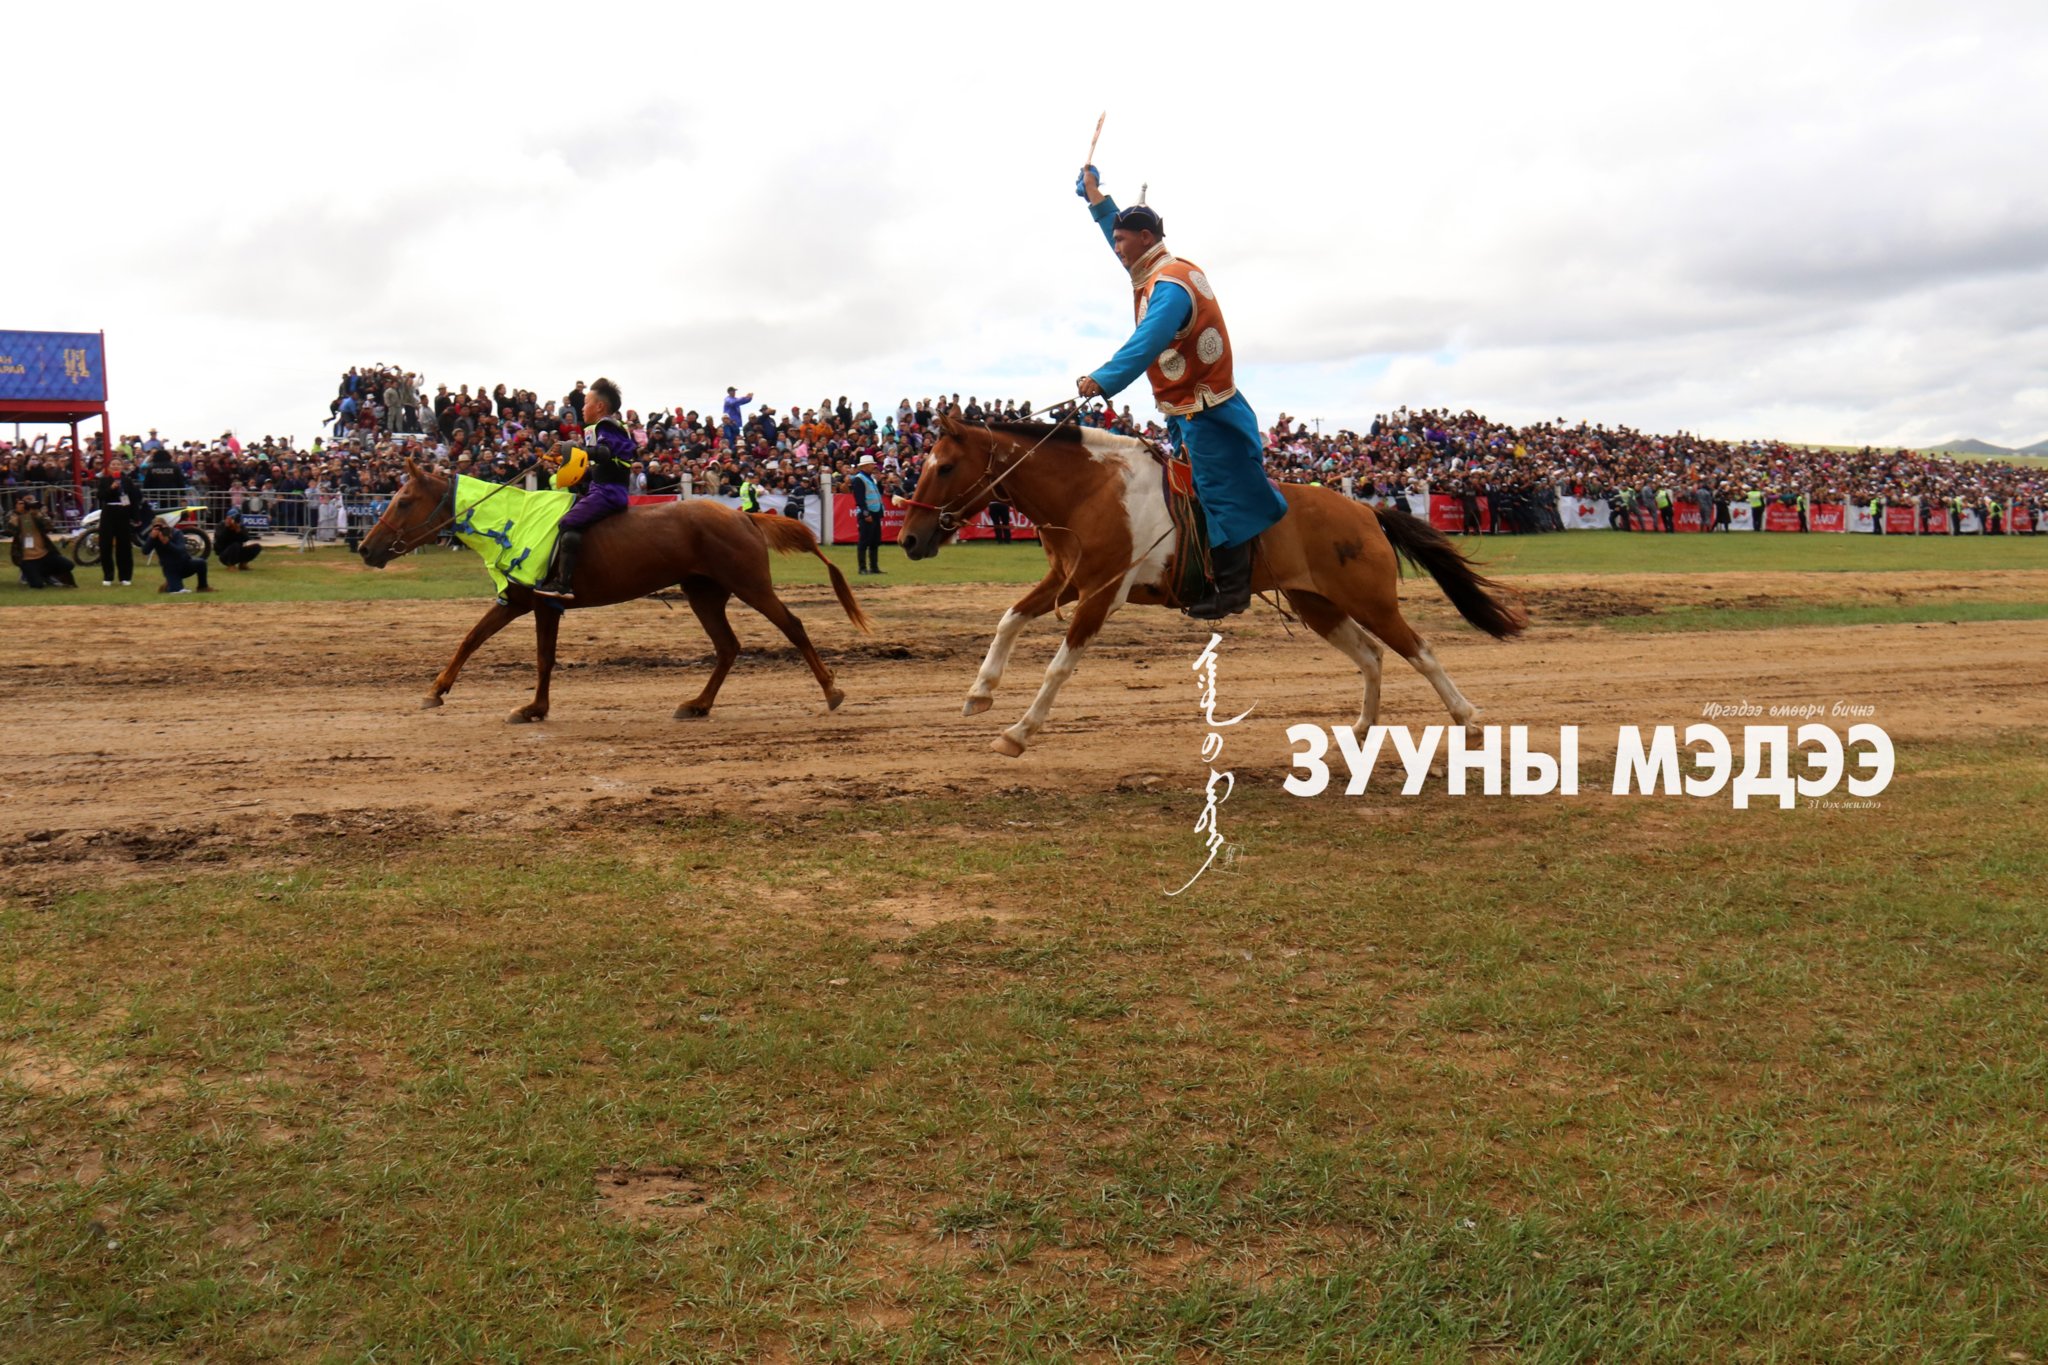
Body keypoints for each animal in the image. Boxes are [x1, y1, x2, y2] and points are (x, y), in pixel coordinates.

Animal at [360, 462, 872, 724]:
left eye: (404, 501)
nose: (366, 548)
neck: (514, 520)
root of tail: (743, 515)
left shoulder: (543, 603)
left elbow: (541, 658)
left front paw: (533, 707)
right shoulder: (522, 602)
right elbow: (472, 639)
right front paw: (437, 690)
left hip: (750, 585)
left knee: (792, 626)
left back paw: (831, 690)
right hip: (704, 594)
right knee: (728, 646)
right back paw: (698, 704)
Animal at [897, 417, 1523, 757]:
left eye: (945, 467)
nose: (908, 538)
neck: (1090, 489)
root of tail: (1365, 508)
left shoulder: (1101, 592)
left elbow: (1057, 667)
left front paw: (1019, 730)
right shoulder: (1067, 579)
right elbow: (1009, 619)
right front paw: (980, 692)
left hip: (1371, 600)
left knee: (1421, 651)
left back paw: (1469, 717)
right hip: (1317, 604)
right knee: (1371, 656)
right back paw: (1363, 727)